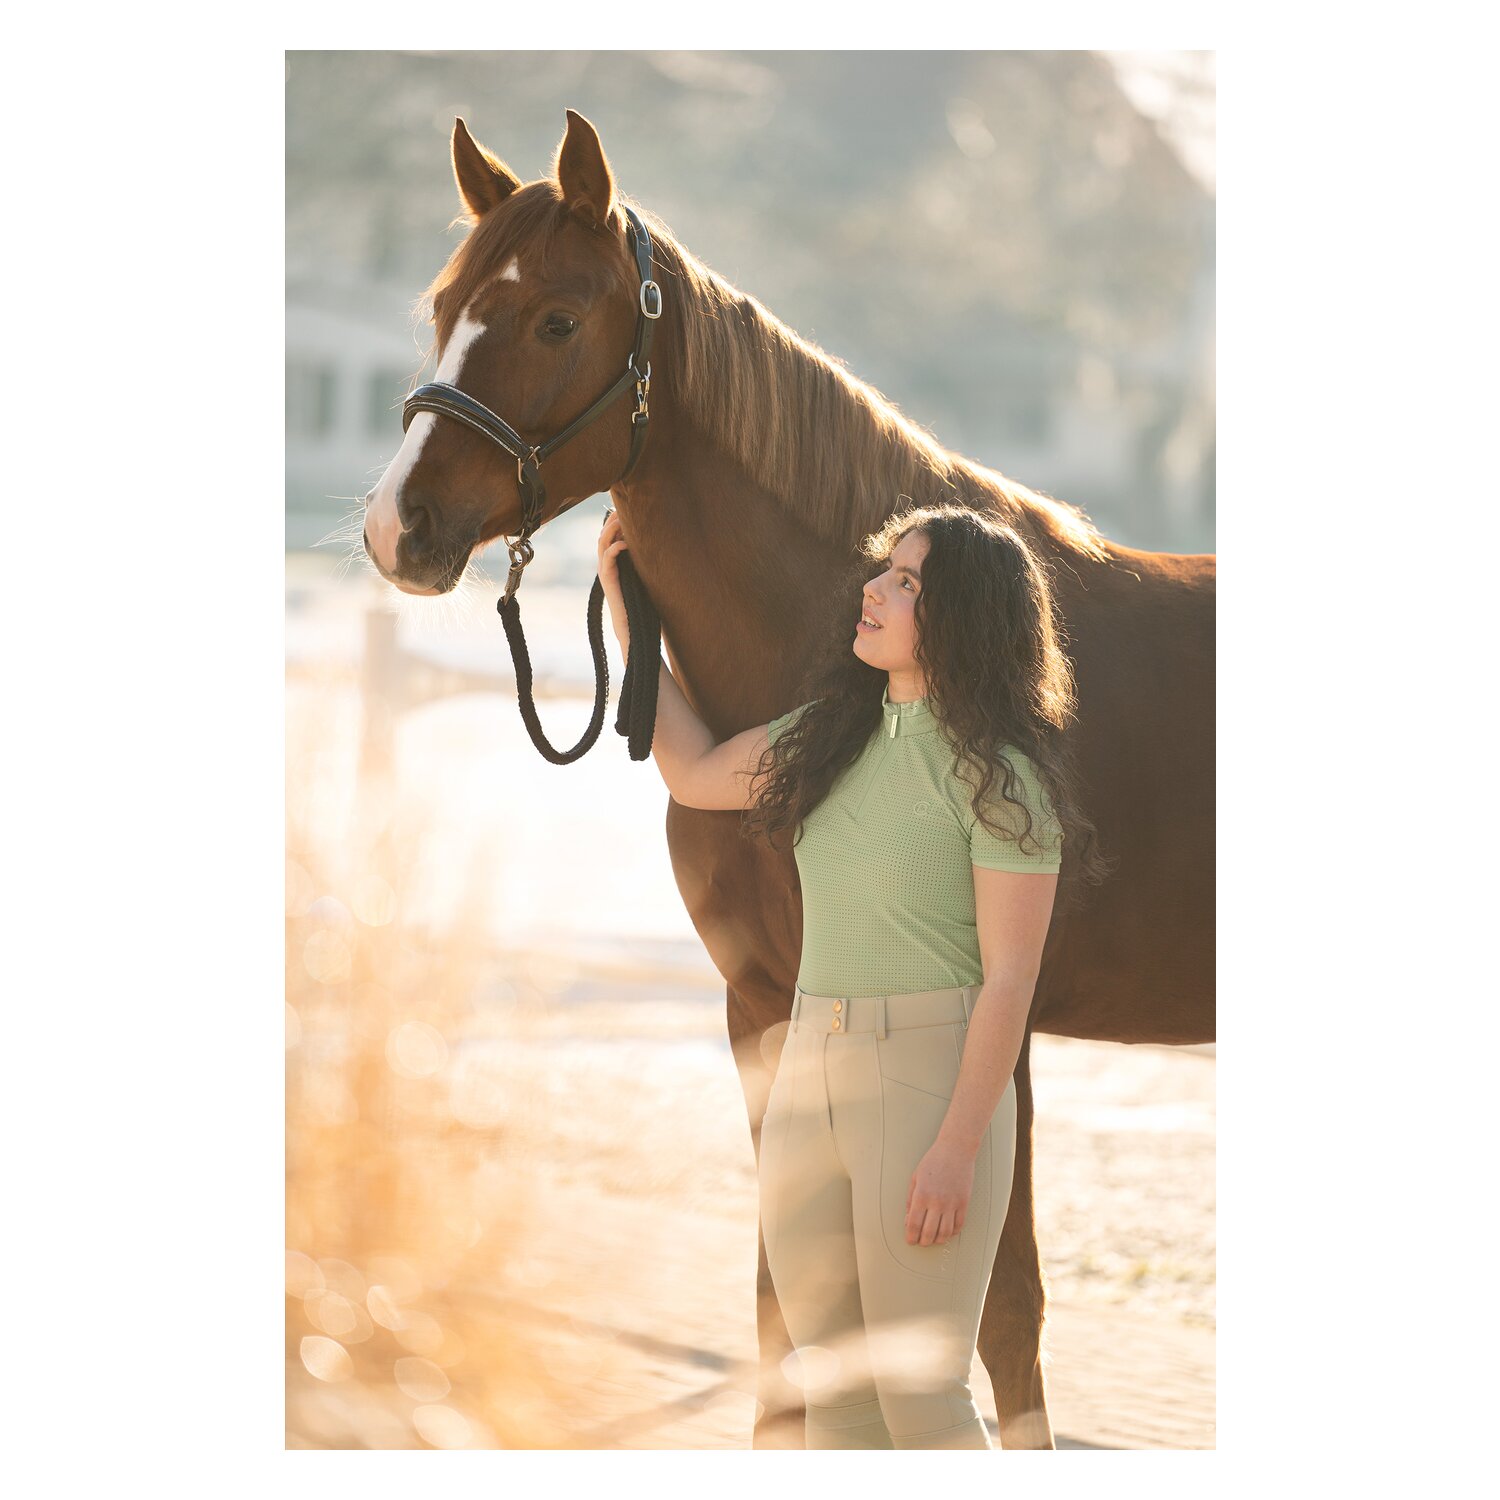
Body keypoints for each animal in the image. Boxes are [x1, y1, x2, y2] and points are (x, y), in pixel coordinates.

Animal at [361, 108, 1215, 1450]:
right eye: (443, 306)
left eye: (554, 319)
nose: (398, 527)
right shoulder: (766, 1008)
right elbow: (785, 1318)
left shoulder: (1001, 1028)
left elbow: (1002, 1321)